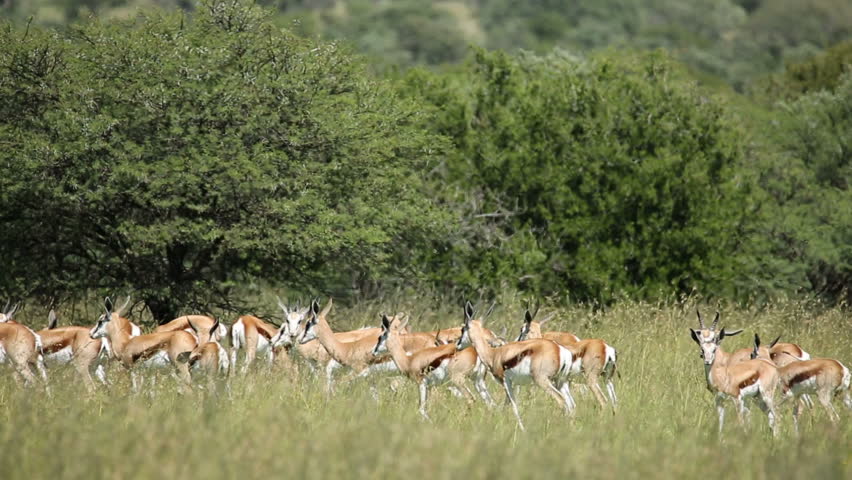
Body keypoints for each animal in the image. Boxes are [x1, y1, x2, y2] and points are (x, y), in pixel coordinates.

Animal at [460, 302, 572, 430]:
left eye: (462, 329)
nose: (458, 344)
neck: (494, 354)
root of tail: (559, 349)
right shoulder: (514, 384)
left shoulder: (506, 381)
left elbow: (513, 405)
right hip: (561, 381)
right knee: (571, 404)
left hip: (543, 381)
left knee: (561, 400)